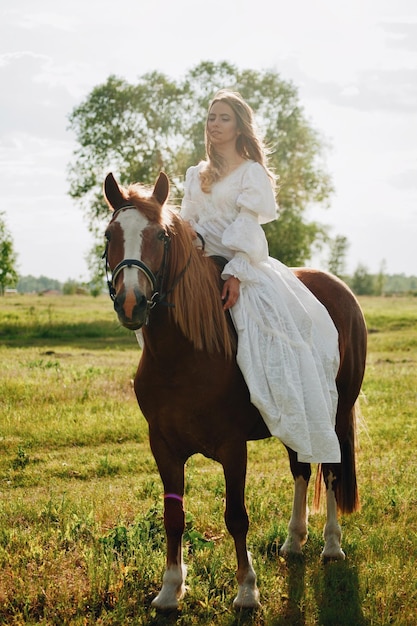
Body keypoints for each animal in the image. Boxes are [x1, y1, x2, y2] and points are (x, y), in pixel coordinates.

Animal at [102, 171, 366, 608]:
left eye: (160, 236)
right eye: (110, 235)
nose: (130, 302)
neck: (183, 354)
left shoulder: (232, 447)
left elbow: (236, 516)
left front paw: (247, 590)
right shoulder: (163, 446)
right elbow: (173, 517)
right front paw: (170, 589)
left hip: (336, 413)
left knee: (330, 470)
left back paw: (331, 545)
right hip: (296, 416)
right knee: (300, 470)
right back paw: (294, 541)